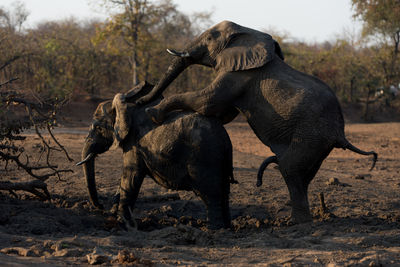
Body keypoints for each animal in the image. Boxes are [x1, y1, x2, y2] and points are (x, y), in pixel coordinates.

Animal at [77, 81, 234, 230]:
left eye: (98, 127)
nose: (101, 206)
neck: (126, 105)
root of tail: (225, 139)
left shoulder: (134, 142)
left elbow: (131, 176)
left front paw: (123, 223)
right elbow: (125, 178)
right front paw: (112, 215)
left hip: (205, 157)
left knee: (210, 194)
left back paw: (214, 229)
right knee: (224, 191)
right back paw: (226, 227)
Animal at [135, 21, 378, 224]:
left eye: (210, 38)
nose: (138, 98)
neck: (247, 31)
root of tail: (341, 132)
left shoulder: (238, 75)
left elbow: (206, 102)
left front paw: (151, 112)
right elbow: (221, 113)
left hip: (311, 134)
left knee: (290, 168)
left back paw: (296, 223)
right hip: (319, 143)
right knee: (303, 175)